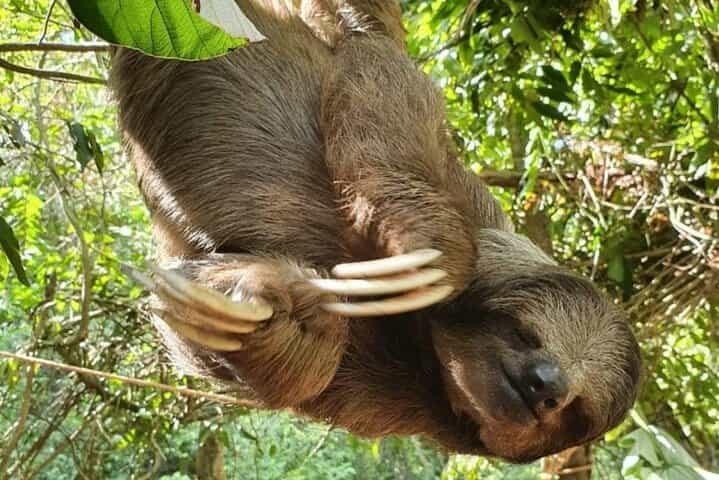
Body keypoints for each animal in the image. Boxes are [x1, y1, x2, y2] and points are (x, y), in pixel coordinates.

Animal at [110, 0, 641, 463]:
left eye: (576, 409)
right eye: (526, 334)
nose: (546, 385)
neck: (421, 341)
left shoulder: (399, 406)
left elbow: (300, 374)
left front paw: (265, 305)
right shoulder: (485, 220)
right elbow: (385, 72)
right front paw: (428, 259)